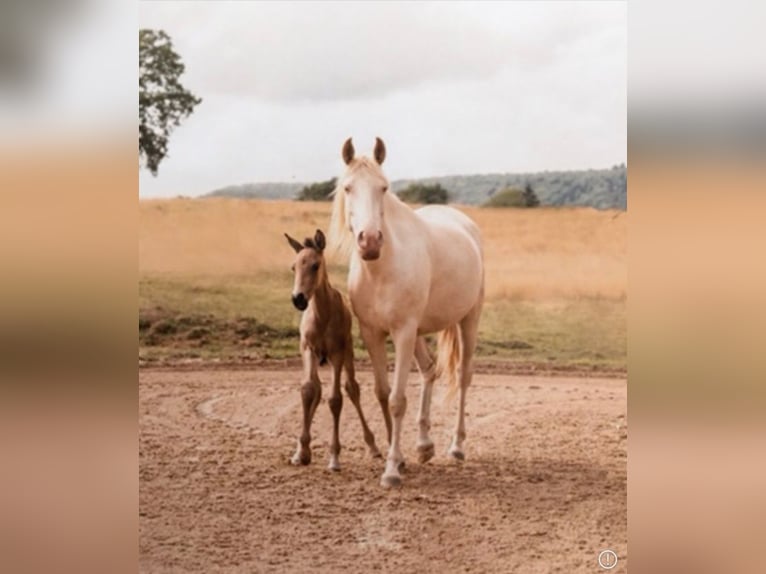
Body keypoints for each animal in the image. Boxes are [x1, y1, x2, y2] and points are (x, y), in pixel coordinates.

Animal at [284, 230, 382, 472]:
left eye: (315, 265)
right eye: (294, 267)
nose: (298, 299)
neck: (322, 315)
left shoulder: (337, 353)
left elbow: (336, 399)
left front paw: (334, 457)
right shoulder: (308, 349)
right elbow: (308, 390)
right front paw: (301, 452)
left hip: (347, 354)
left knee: (352, 389)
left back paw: (373, 446)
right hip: (319, 358)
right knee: (317, 389)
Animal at [330, 137, 486, 488]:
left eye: (383, 187)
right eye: (347, 188)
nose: (370, 242)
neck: (381, 270)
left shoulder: (401, 333)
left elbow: (397, 400)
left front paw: (391, 470)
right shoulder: (372, 333)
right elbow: (382, 393)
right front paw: (399, 457)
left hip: (468, 319)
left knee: (464, 376)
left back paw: (456, 446)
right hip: (419, 332)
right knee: (430, 370)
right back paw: (424, 445)